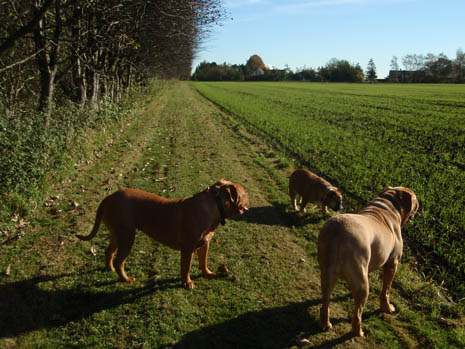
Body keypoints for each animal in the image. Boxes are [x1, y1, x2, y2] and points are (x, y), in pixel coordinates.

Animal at [76, 178, 248, 286]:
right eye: (244, 194)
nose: (249, 197)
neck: (215, 204)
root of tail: (109, 197)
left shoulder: (205, 244)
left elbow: (203, 261)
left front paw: (207, 273)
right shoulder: (187, 249)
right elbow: (186, 268)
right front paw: (187, 283)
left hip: (118, 233)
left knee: (109, 251)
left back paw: (110, 268)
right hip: (127, 236)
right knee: (120, 261)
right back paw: (125, 279)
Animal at [318, 186, 418, 336]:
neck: (389, 204)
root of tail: (337, 233)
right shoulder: (392, 264)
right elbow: (386, 290)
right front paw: (387, 307)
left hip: (326, 273)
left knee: (325, 302)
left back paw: (325, 324)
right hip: (362, 285)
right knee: (357, 315)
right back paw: (359, 332)